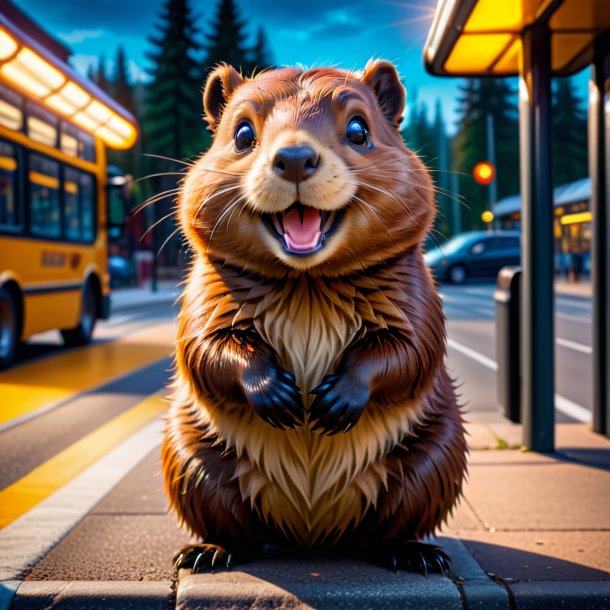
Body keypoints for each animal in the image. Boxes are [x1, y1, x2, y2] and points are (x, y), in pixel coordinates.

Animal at [162, 59, 466, 572]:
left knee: (388, 528)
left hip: (432, 464)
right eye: (242, 133)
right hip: (192, 464)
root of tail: (311, 536)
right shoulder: (207, 296)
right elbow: (206, 349)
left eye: (360, 130)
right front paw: (277, 394)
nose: (295, 158)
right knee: (240, 531)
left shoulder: (414, 298)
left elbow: (409, 351)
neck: (307, 285)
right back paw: (208, 551)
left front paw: (334, 402)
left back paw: (415, 553)